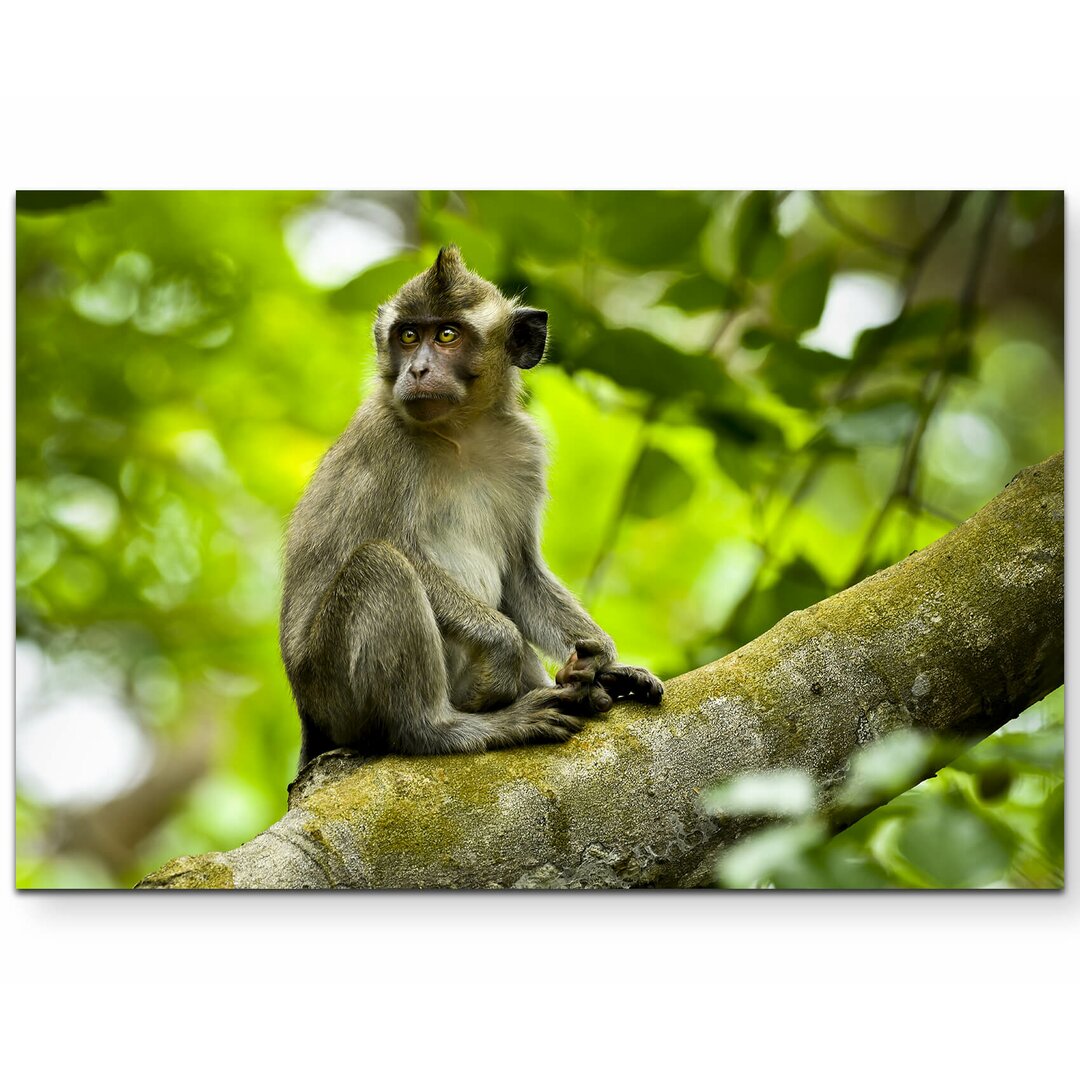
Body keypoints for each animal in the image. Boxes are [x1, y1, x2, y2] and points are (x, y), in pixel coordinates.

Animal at [278, 244, 660, 768]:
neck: (460, 432)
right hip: (332, 688)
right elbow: (389, 551)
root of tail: (308, 719)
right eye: (408, 336)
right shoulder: (384, 442)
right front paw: (505, 646)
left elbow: (520, 572)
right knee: (380, 565)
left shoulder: (524, 450)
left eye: (446, 335)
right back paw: (443, 729)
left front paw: (601, 659)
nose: (417, 370)